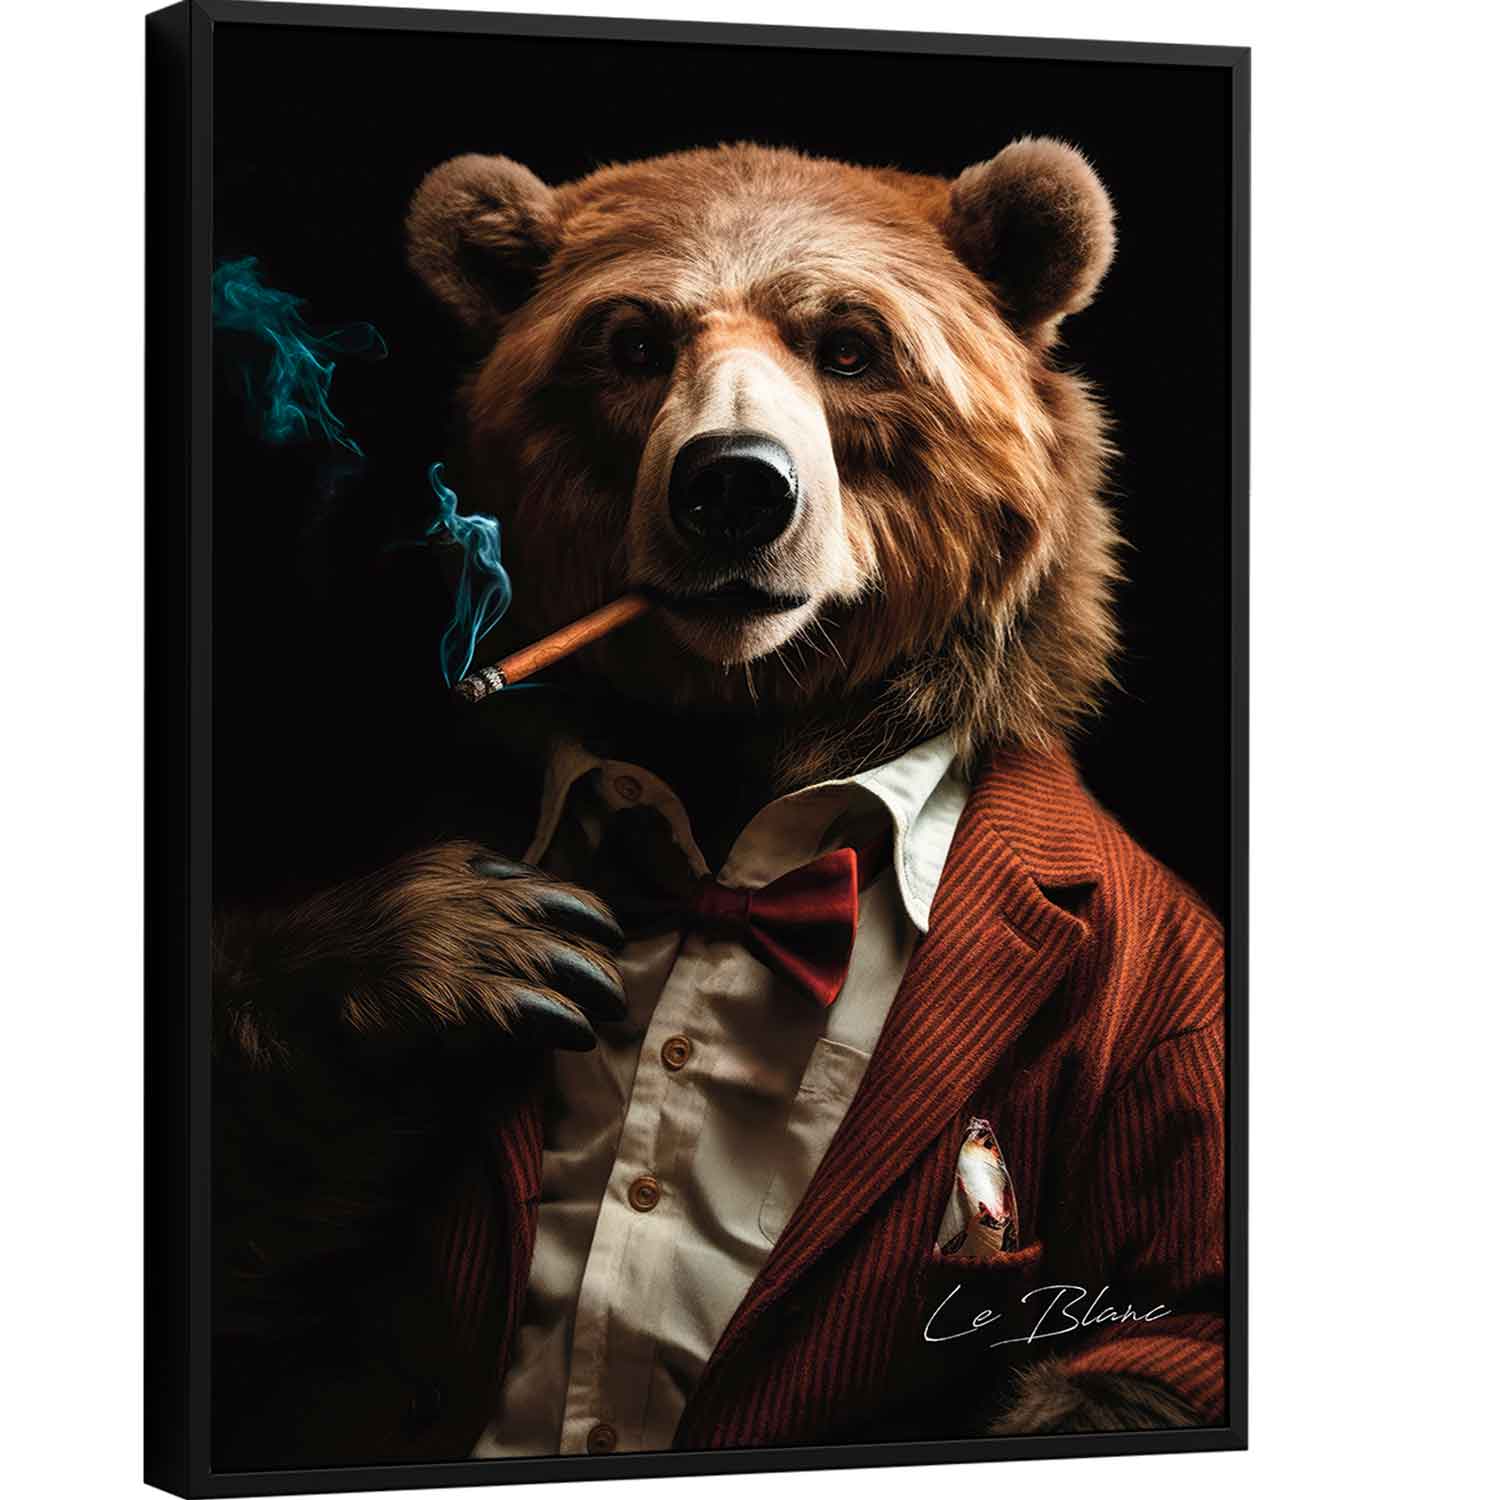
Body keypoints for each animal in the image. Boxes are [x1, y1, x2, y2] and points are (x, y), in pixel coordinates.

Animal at [211, 139, 1224, 1469]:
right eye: (634, 341)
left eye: (849, 347)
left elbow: (1160, 1324)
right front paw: (459, 946)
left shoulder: (1172, 1034)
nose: (736, 487)